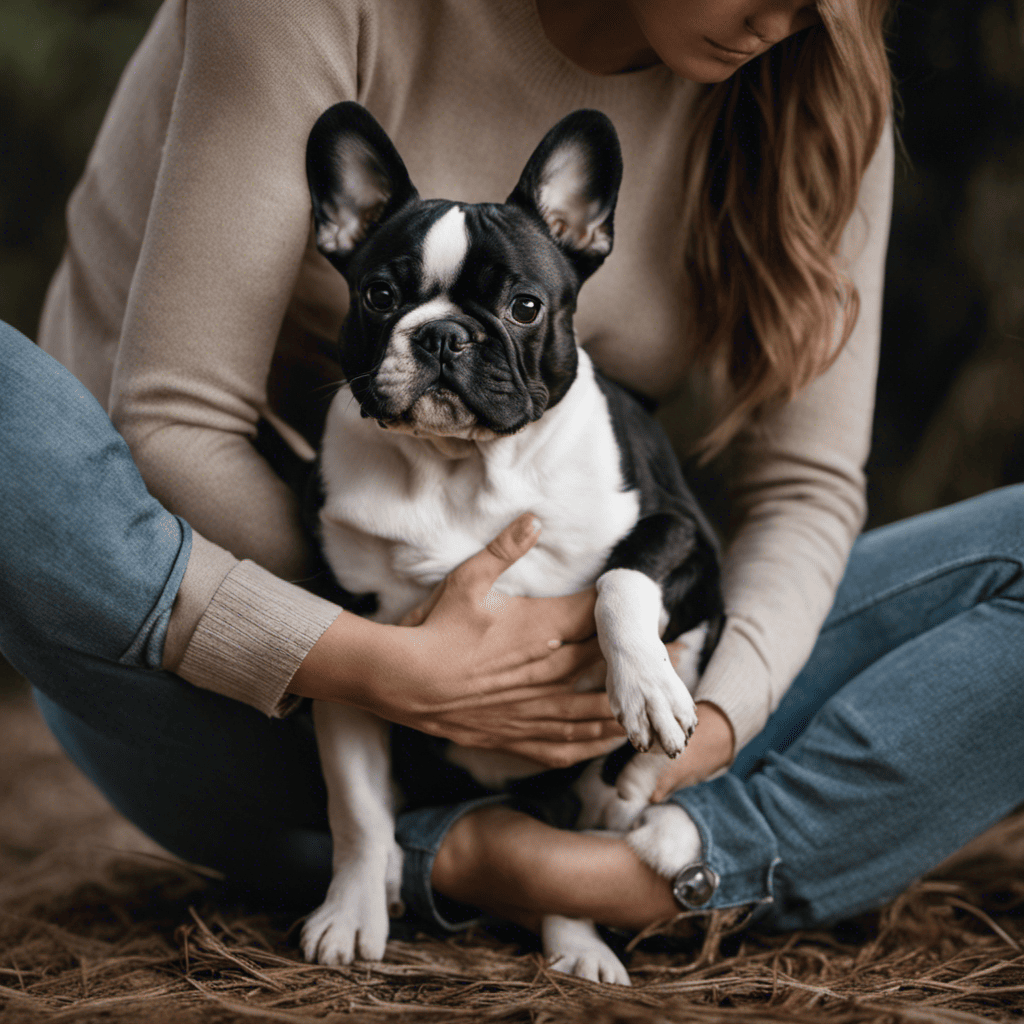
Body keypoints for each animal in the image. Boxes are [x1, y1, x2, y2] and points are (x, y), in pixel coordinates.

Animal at [299, 103, 724, 983]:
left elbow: (623, 576)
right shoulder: (344, 644)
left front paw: (646, 686)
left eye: (526, 308)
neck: (461, 469)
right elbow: (355, 806)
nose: (442, 336)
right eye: (379, 295)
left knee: (598, 815)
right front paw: (350, 913)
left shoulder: (686, 537)